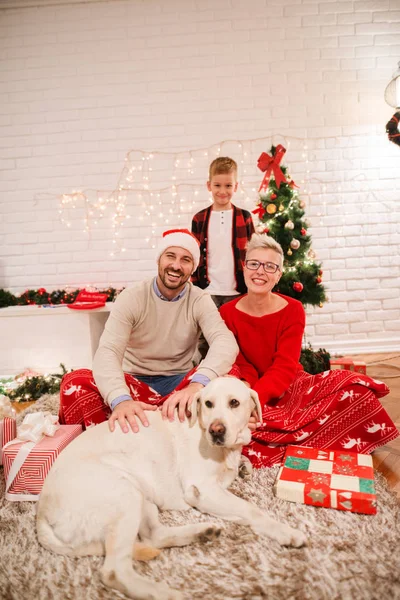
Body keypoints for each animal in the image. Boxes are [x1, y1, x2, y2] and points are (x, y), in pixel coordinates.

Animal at [37, 378, 306, 596]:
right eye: (208, 404)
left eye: (234, 403)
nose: (216, 430)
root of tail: (41, 512)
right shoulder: (203, 490)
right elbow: (251, 509)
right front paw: (285, 531)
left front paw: (244, 465)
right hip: (123, 496)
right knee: (114, 571)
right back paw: (166, 592)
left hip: (140, 496)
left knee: (153, 536)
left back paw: (203, 532)